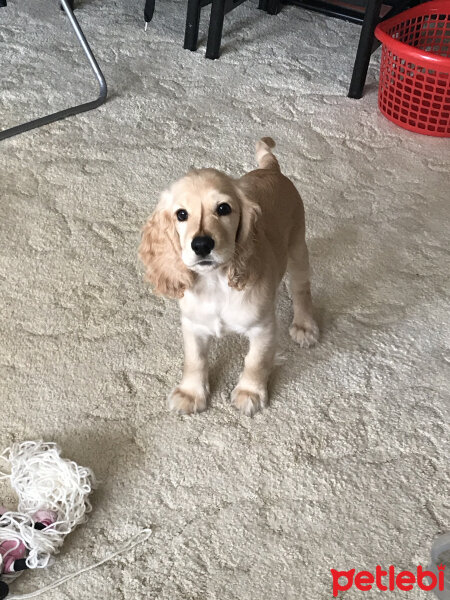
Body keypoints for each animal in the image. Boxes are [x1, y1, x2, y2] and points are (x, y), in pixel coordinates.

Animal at [139, 138, 318, 414]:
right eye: (181, 214)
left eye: (223, 208)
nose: (202, 244)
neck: (215, 282)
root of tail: (271, 169)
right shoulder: (193, 325)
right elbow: (194, 360)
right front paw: (191, 393)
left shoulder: (263, 327)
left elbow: (256, 361)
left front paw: (249, 392)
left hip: (298, 246)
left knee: (301, 288)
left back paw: (304, 325)